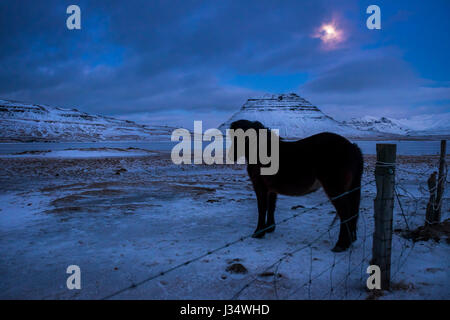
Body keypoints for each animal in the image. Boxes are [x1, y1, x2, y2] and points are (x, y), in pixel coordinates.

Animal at [230, 119, 364, 251]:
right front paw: (269, 228)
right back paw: (350, 241)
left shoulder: (260, 187)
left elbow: (262, 209)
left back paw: (341, 244)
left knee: (345, 214)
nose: (231, 155)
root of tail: (352, 147)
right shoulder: (272, 189)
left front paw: (258, 233)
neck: (261, 150)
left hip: (335, 190)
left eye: (240, 137)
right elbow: (271, 207)